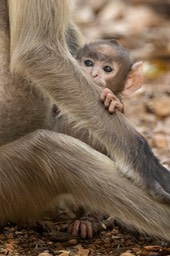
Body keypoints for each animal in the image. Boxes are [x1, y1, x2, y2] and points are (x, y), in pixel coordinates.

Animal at [0, 0, 170, 240]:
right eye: (88, 63)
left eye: (107, 69)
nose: (94, 74)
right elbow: (38, 51)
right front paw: (145, 164)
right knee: (49, 150)